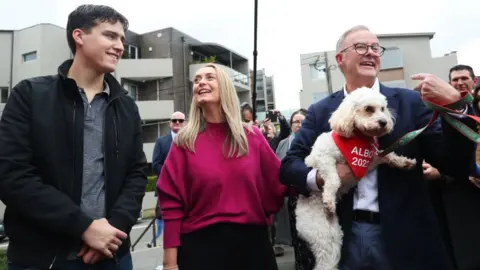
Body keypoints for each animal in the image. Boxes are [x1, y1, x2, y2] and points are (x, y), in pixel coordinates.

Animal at [296, 87, 416, 270]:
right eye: (368, 109)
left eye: (383, 109)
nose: (384, 122)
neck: (357, 138)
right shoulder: (323, 158)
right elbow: (333, 179)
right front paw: (329, 199)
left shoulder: (373, 158)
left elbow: (389, 156)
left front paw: (404, 162)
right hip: (320, 234)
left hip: (334, 235)